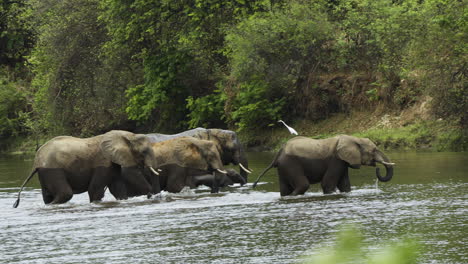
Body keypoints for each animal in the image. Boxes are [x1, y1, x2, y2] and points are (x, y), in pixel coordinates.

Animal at [12, 129, 159, 206]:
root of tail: (35, 161)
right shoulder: (102, 161)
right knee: (65, 193)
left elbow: (117, 188)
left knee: (47, 196)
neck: (125, 135)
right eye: (144, 151)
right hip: (53, 170)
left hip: (44, 173)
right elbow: (95, 189)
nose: (151, 194)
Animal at [252, 136, 394, 196]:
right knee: (303, 185)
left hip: (283, 167)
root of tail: (278, 154)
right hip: (290, 163)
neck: (353, 138)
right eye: (374, 150)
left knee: (285, 190)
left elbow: (345, 185)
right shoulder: (336, 160)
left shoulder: (343, 161)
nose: (378, 168)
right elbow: (327, 184)